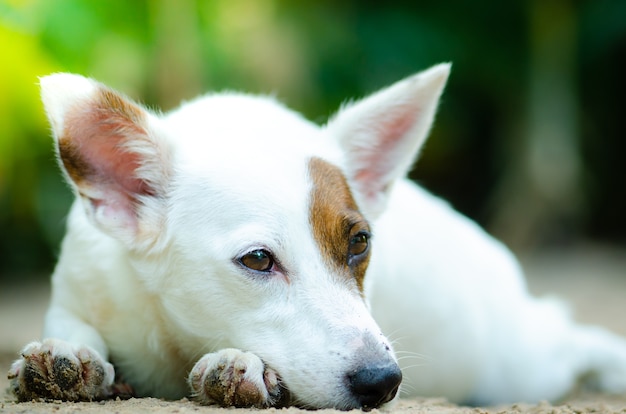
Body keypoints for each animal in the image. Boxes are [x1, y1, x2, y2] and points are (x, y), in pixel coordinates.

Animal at [8, 64, 624, 410]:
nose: (383, 381)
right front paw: (67, 354)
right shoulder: (81, 283)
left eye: (360, 243)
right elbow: (70, 325)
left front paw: (237, 365)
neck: (172, 334)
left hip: (520, 361)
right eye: (258, 260)